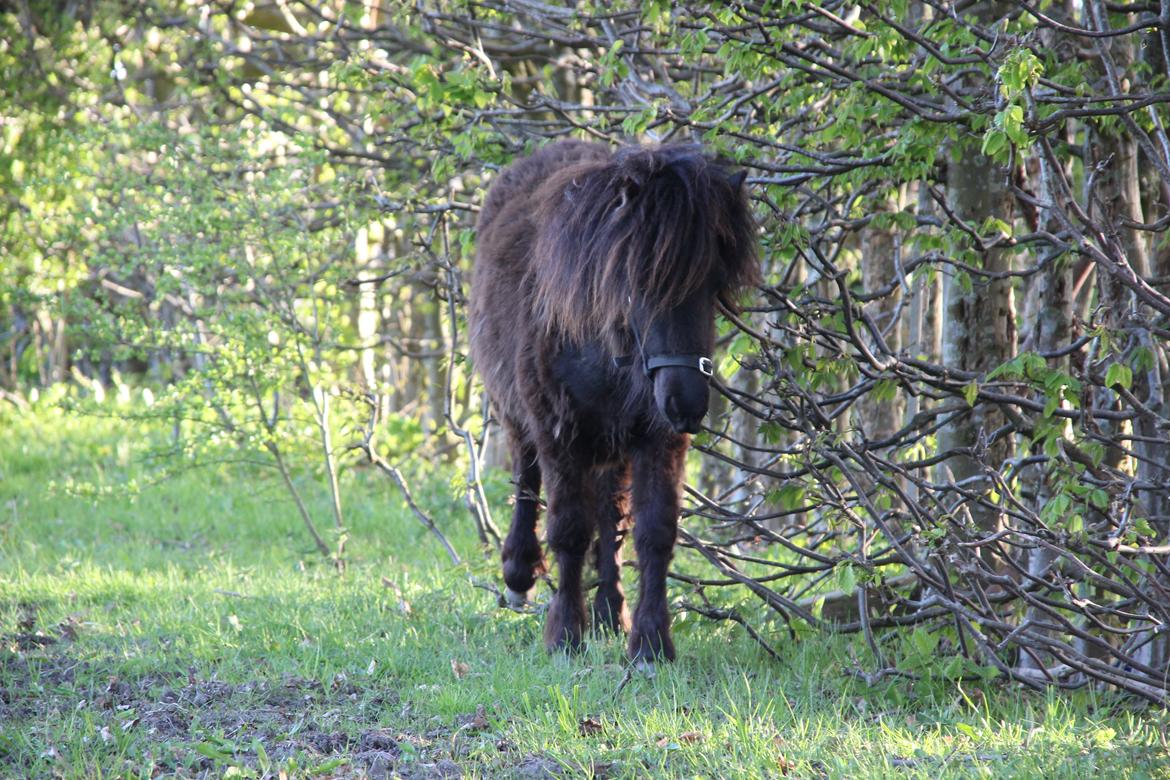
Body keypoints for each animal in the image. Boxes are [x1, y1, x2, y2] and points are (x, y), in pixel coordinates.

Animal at [467, 142, 758, 664]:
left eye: (714, 285)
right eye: (640, 282)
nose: (686, 404)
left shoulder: (657, 440)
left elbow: (652, 531)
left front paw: (650, 642)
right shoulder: (559, 433)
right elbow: (569, 529)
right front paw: (565, 634)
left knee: (610, 512)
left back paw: (608, 610)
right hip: (522, 417)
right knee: (528, 479)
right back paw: (520, 574)